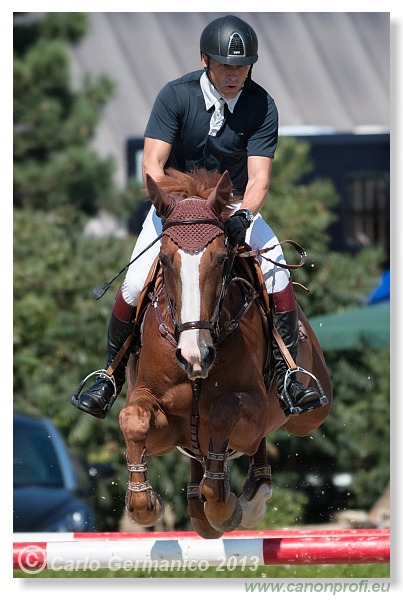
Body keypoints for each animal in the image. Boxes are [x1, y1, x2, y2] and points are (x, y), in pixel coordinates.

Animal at [118, 168, 332, 540]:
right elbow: (133, 419)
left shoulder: (253, 410)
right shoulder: (158, 413)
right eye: (164, 261)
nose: (195, 355)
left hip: (311, 414)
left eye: (221, 260)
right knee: (198, 465)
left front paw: (227, 508)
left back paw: (249, 499)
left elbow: (222, 413)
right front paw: (145, 505)